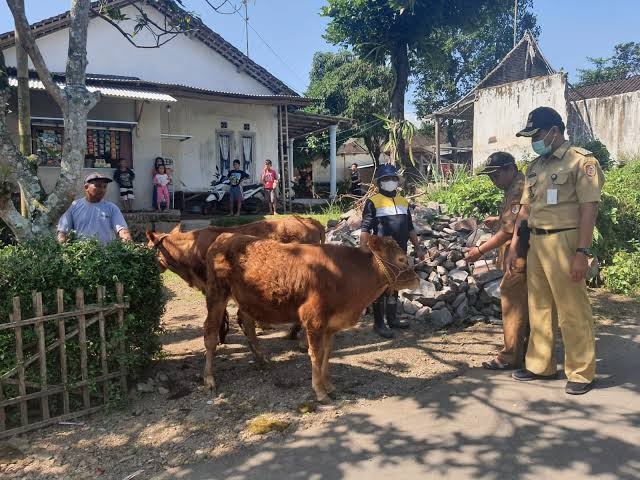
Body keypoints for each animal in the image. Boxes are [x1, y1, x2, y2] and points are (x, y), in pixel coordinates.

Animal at [202, 232, 418, 402]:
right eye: (401, 259)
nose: (417, 279)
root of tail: (225, 236)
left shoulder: (331, 325)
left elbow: (327, 352)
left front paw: (328, 384)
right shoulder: (314, 319)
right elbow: (316, 353)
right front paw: (320, 391)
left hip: (245, 299)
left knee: (247, 323)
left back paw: (262, 359)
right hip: (216, 294)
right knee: (210, 335)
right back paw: (209, 379)